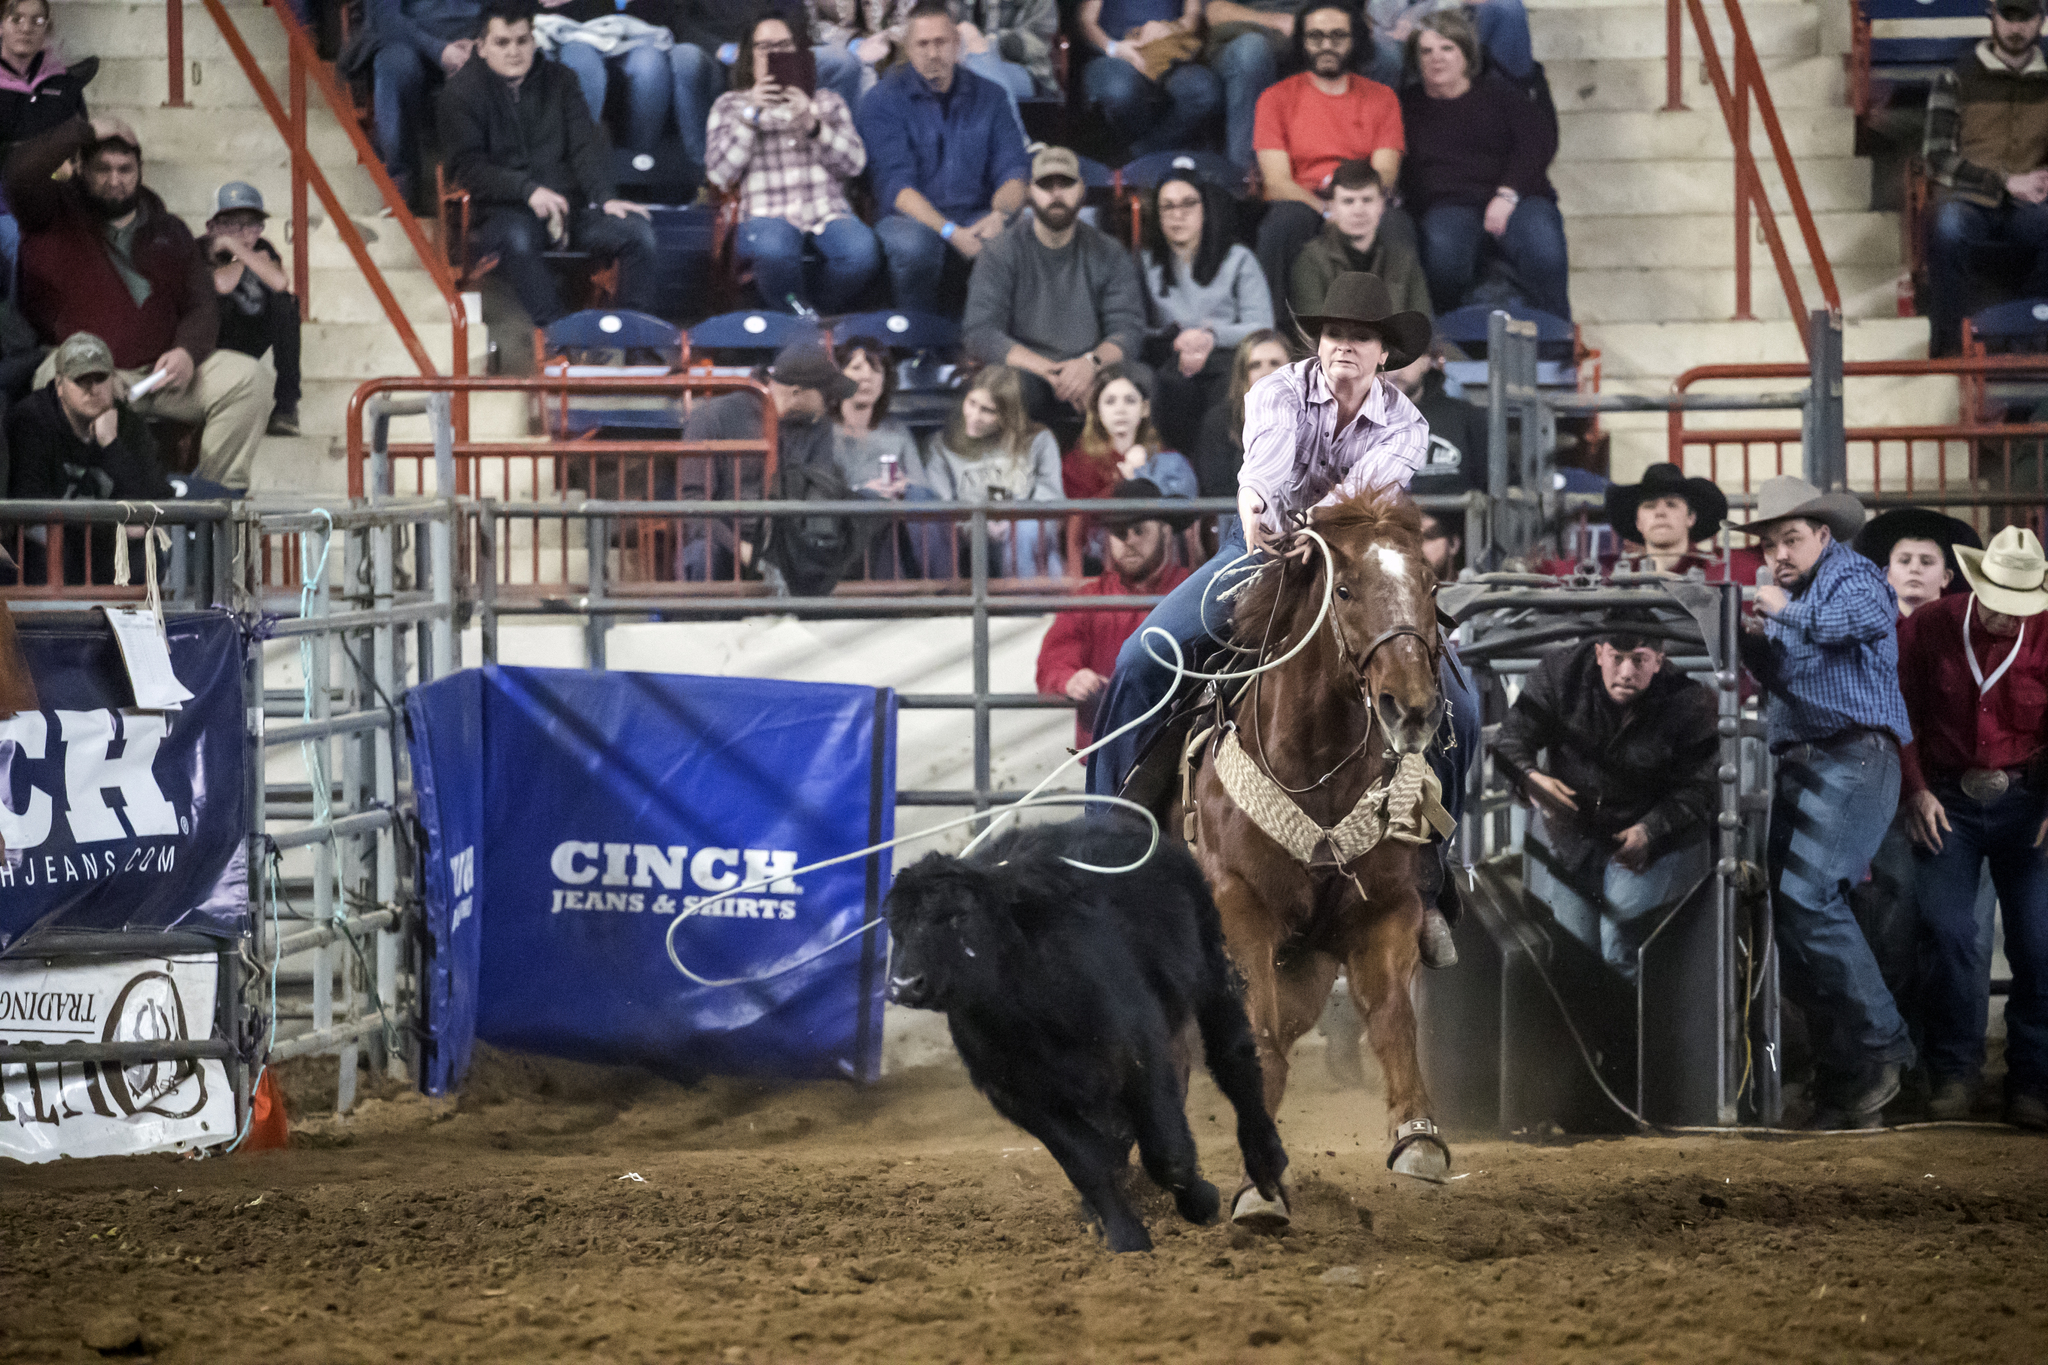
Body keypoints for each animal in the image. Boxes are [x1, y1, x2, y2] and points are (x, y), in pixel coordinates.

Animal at [888, 818, 1286, 1252]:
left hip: (1213, 973)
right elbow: (1088, 1164)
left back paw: (1265, 1164)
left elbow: (1166, 1152)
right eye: (895, 926)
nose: (905, 984)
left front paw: (1201, 1201)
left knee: (1235, 1059)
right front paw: (1125, 1235)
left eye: (959, 915)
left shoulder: (1138, 1052)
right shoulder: (1018, 1096)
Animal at [1187, 485, 1458, 1219]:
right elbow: (1258, 1040)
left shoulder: (1386, 908)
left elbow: (1392, 1018)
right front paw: (1258, 1188)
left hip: (1307, 966)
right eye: (1345, 590)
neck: (1318, 770)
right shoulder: (1241, 907)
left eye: (1430, 585)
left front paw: (1418, 1136)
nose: (1411, 707)